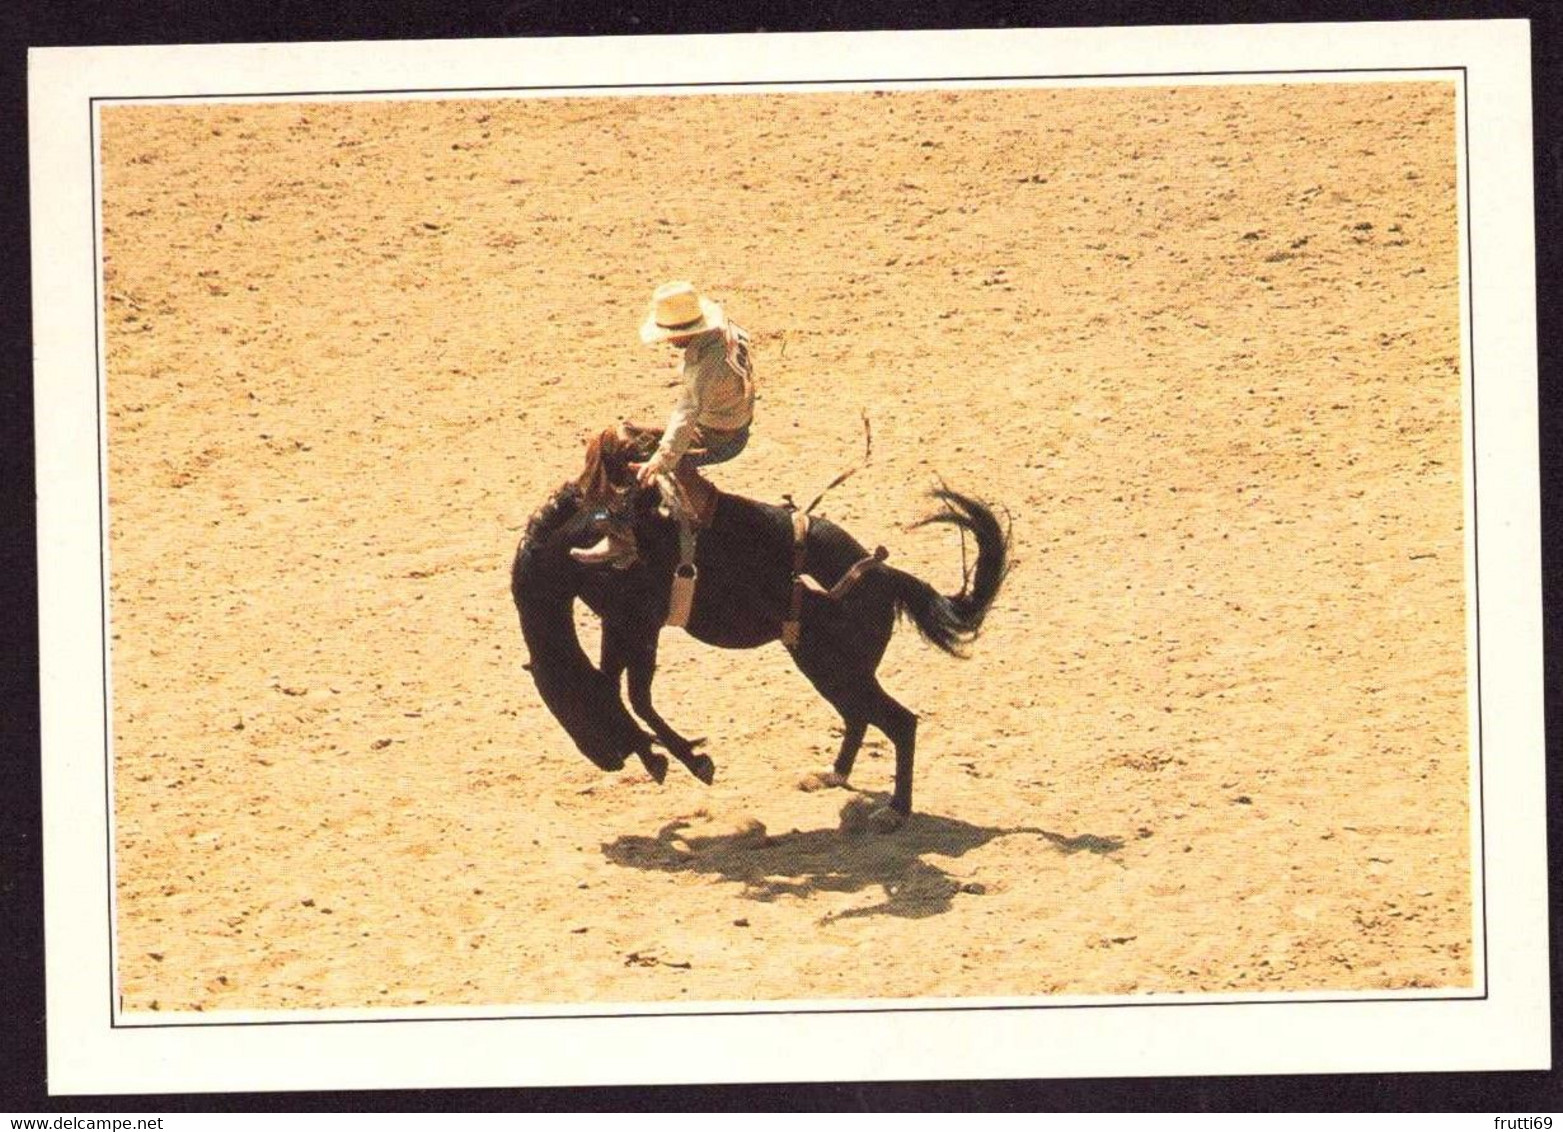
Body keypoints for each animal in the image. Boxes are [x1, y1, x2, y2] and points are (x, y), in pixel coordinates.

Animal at [506, 425, 1006, 831]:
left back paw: (895, 810)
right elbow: (618, 688)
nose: (605, 761)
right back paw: (833, 774)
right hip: (826, 668)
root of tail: (886, 575)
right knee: (859, 717)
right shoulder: (620, 624)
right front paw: (661, 757)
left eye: (568, 703)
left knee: (899, 721)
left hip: (837, 668)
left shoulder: (639, 624)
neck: (576, 542)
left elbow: (634, 695)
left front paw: (687, 760)